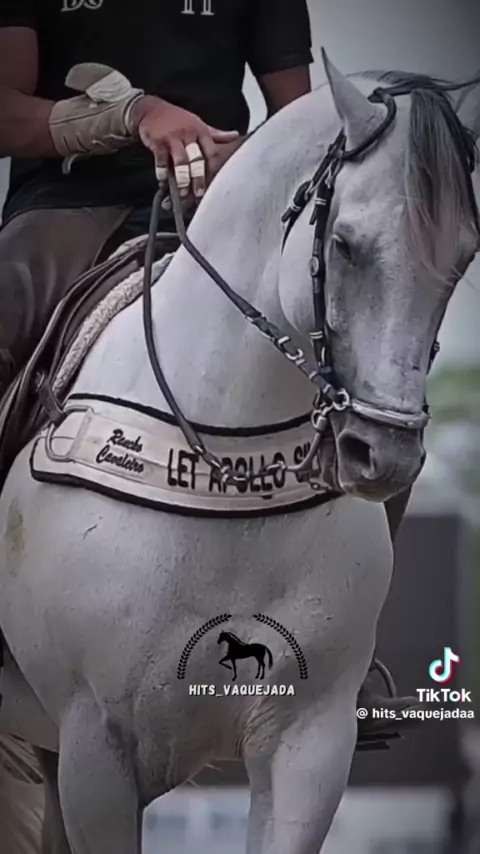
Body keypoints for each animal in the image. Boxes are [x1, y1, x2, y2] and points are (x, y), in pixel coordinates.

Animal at [0, 52, 478, 854]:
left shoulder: (308, 747)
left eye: (463, 256)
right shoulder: (95, 750)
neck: (226, 478)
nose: (382, 454)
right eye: (343, 244)